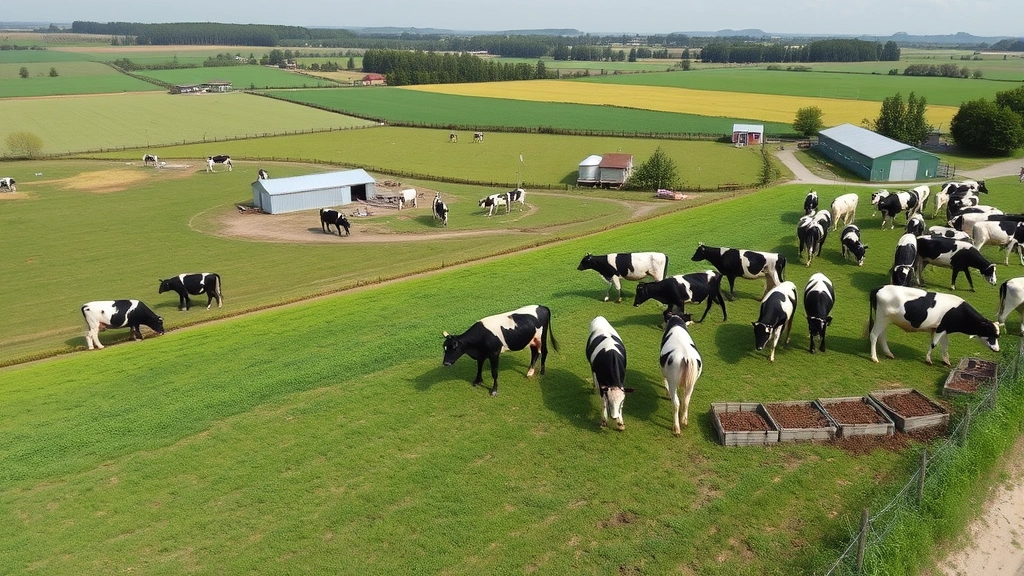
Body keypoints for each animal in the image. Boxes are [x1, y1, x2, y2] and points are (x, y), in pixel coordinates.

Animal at [868, 285, 999, 365]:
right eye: (991, 333)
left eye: (998, 335)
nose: (997, 350)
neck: (959, 311)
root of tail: (877, 288)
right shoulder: (940, 328)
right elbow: (934, 344)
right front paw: (928, 359)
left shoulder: (943, 329)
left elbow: (945, 345)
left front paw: (946, 361)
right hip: (881, 318)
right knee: (874, 335)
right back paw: (874, 358)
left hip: (884, 320)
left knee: (882, 335)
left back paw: (888, 353)